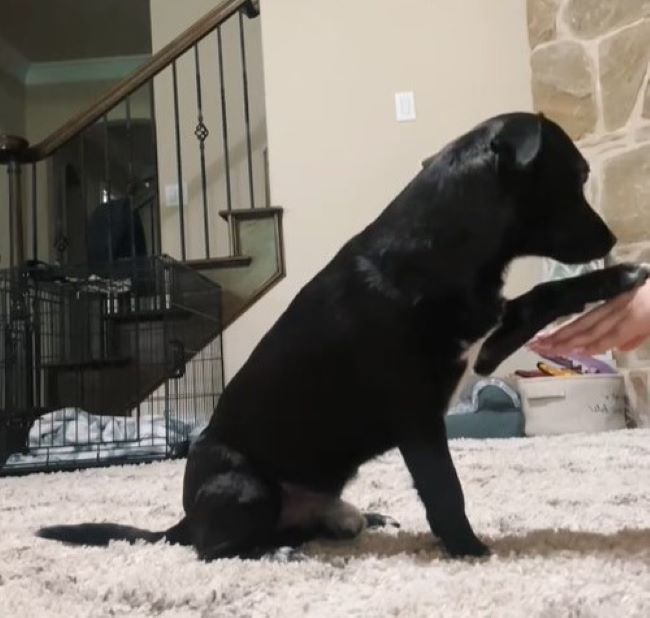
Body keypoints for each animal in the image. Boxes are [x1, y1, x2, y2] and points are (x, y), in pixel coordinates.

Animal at [39, 112, 644, 560]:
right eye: (580, 174)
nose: (612, 238)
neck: (441, 245)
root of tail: (184, 520)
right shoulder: (417, 415)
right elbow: (444, 488)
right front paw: (471, 550)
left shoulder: (488, 331)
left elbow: (546, 295)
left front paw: (622, 278)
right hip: (244, 487)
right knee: (216, 550)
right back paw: (275, 552)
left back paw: (356, 519)